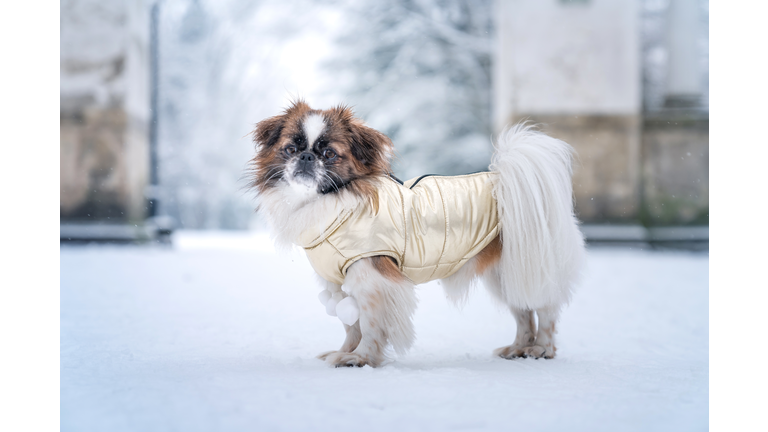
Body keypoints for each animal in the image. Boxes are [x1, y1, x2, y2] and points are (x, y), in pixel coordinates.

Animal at [249, 101, 584, 368]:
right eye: (291, 149)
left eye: (329, 153)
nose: (306, 157)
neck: (332, 203)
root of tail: (505, 183)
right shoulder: (341, 282)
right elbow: (351, 325)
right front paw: (344, 351)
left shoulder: (374, 278)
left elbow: (369, 324)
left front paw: (361, 358)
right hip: (507, 274)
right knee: (524, 311)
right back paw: (519, 348)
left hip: (530, 264)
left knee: (545, 310)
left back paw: (542, 349)